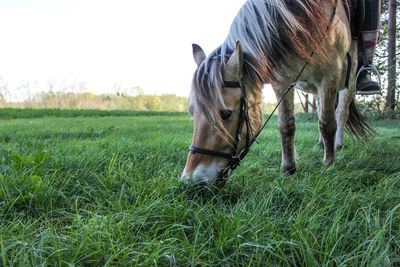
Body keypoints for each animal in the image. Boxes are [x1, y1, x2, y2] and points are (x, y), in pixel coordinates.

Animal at [183, 0, 374, 186]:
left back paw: (337, 145)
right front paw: (288, 168)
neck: (304, 19)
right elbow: (286, 125)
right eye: (192, 112)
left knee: (340, 113)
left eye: (225, 114)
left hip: (347, 83)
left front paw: (329, 164)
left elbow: (327, 123)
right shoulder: (282, 81)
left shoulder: (330, 74)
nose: (191, 180)